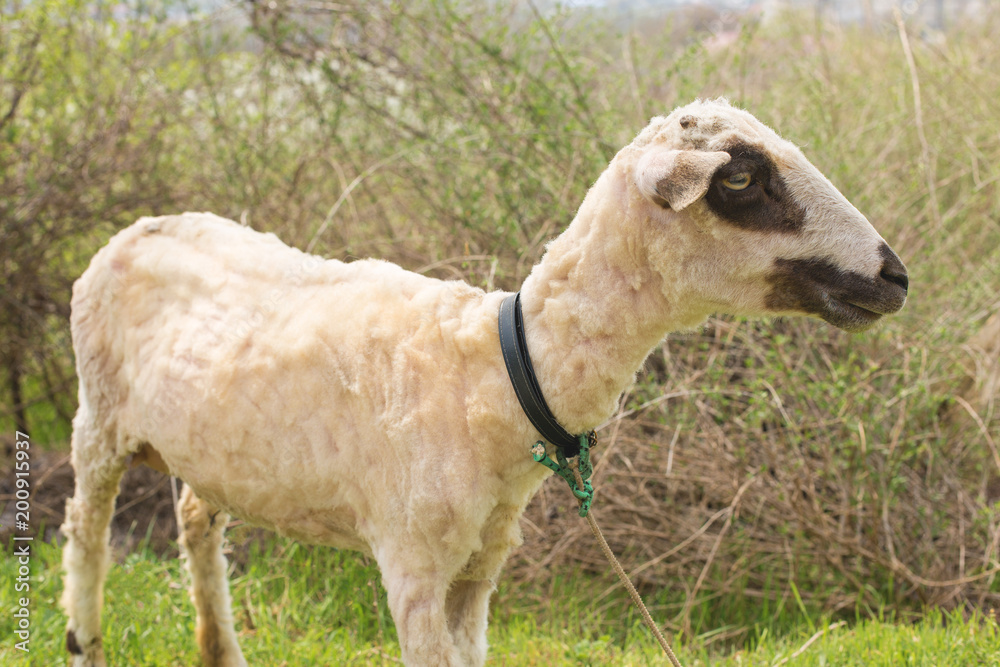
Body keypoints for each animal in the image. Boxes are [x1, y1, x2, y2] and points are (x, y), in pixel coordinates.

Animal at [61, 98, 908, 667]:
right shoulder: (414, 565)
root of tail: (141, 226)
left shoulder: (478, 569)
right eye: (741, 176)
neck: (501, 371)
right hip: (98, 417)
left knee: (197, 518)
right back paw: (85, 640)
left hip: (213, 448)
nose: (894, 275)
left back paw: (222, 650)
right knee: (85, 533)